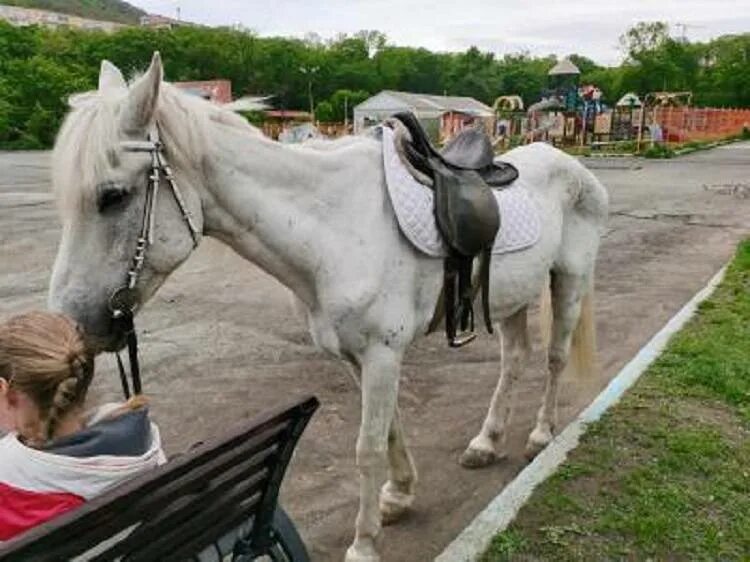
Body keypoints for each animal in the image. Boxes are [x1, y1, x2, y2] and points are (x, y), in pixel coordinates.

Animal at [48, 53, 612, 560]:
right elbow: (388, 429)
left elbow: (366, 448)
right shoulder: (357, 358)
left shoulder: (383, 355)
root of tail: (573, 166)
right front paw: (399, 495)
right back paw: (486, 442)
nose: (73, 324)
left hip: (569, 281)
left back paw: (539, 434)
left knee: (553, 358)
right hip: (512, 298)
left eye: (112, 196)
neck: (334, 229)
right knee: (513, 361)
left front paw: (364, 543)